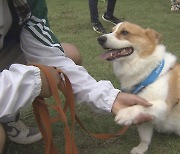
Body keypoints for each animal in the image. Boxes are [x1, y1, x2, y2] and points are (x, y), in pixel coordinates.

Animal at [97, 22, 179, 154]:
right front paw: (141, 149)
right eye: (111, 31)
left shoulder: (163, 105)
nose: (100, 39)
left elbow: (140, 107)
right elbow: (145, 137)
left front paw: (124, 115)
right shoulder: (145, 120)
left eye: (124, 32)